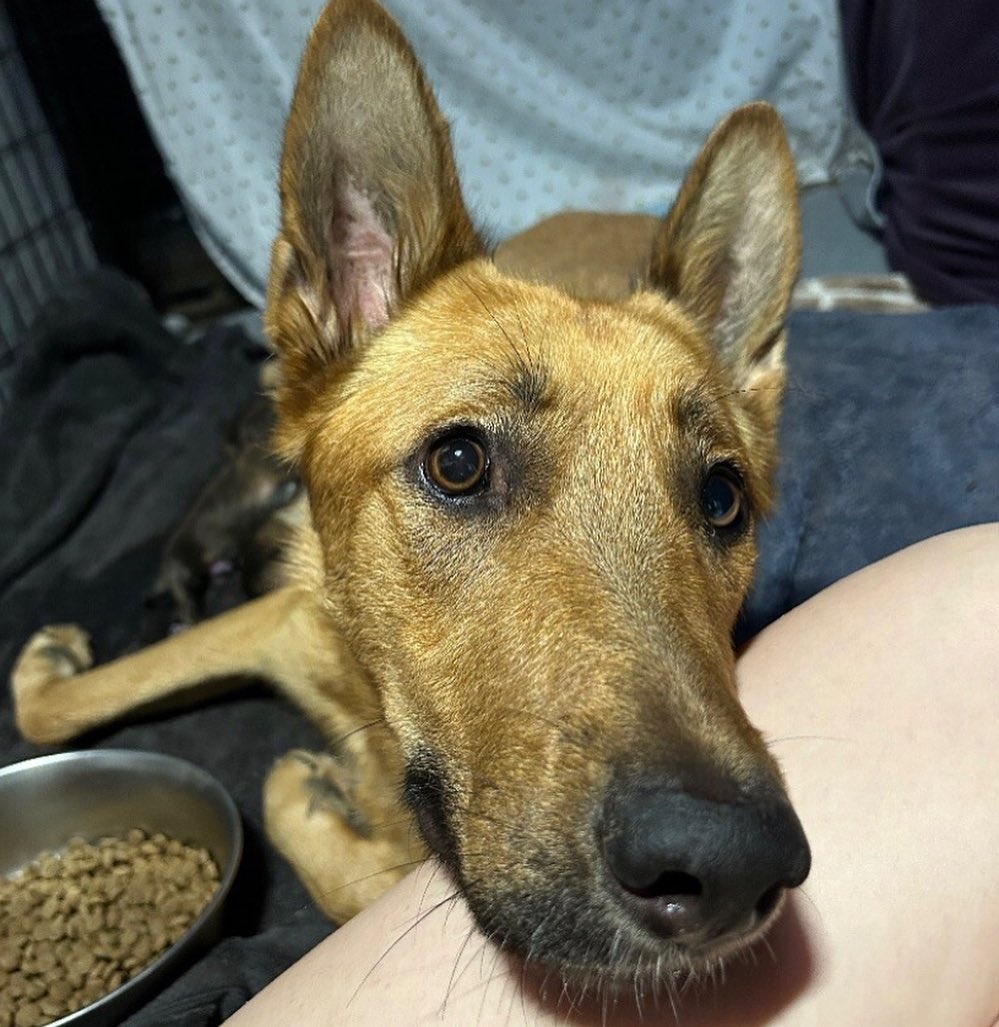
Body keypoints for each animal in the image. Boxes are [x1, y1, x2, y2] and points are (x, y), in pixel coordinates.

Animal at [11, 0, 804, 990]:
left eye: (722, 498)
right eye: (457, 462)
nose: (735, 866)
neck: (371, 701)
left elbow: (332, 858)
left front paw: (317, 796)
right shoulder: (278, 618)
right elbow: (61, 700)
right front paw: (51, 664)